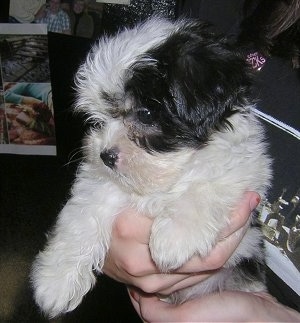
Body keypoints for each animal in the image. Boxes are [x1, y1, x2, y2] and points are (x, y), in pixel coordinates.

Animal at [30, 16, 272, 318]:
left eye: (145, 115)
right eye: (99, 118)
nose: (105, 155)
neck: (161, 179)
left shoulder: (244, 167)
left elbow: (207, 184)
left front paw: (175, 236)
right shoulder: (100, 184)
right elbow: (81, 220)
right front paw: (55, 283)